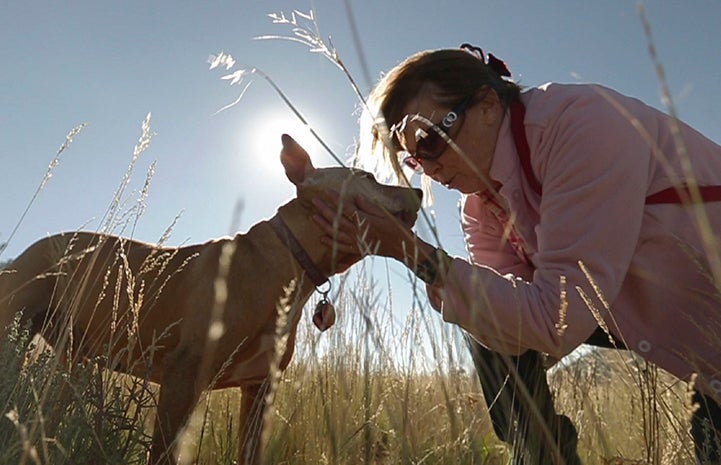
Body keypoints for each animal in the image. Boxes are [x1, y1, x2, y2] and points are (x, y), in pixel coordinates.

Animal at [0, 132, 422, 462]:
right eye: (368, 177)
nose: (418, 189)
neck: (290, 261)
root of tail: (26, 252)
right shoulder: (182, 378)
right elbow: (163, 454)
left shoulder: (260, 390)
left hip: (69, 357)